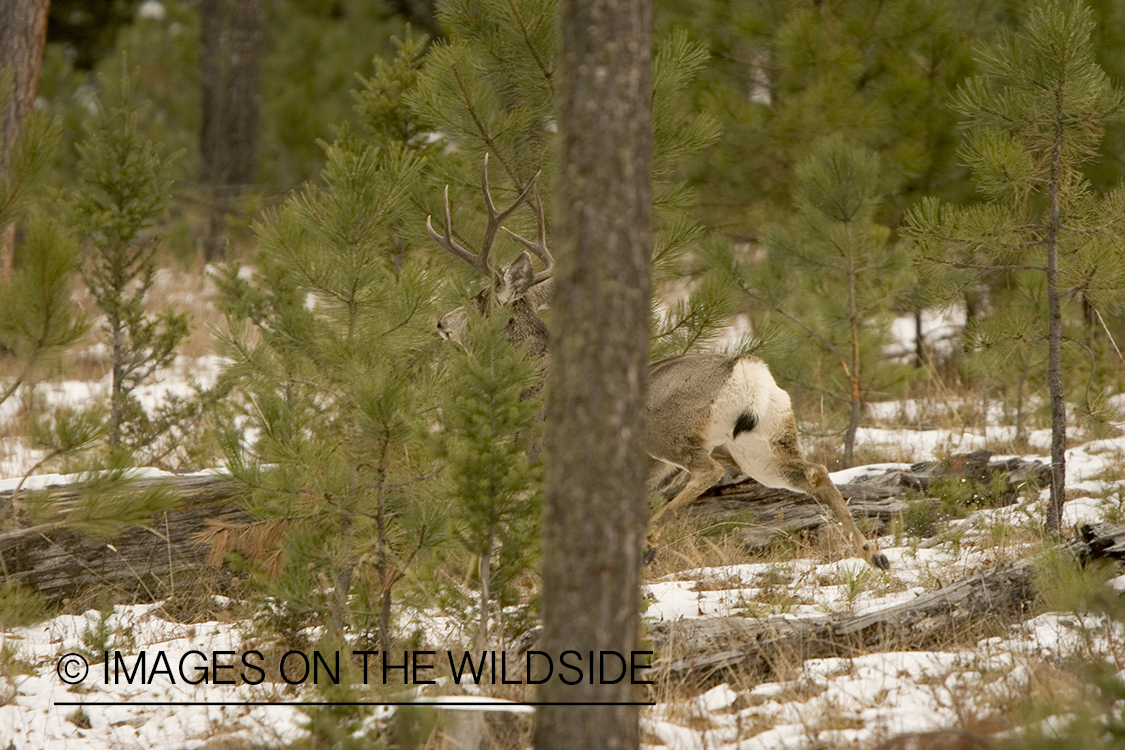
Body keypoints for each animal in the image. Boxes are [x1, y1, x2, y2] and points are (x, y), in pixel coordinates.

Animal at [428, 157, 890, 571]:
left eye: (479, 299)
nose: (441, 323)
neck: (534, 382)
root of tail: (746, 371)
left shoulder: (538, 456)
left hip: (667, 429)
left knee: (708, 470)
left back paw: (649, 541)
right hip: (762, 442)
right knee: (814, 472)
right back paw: (875, 554)